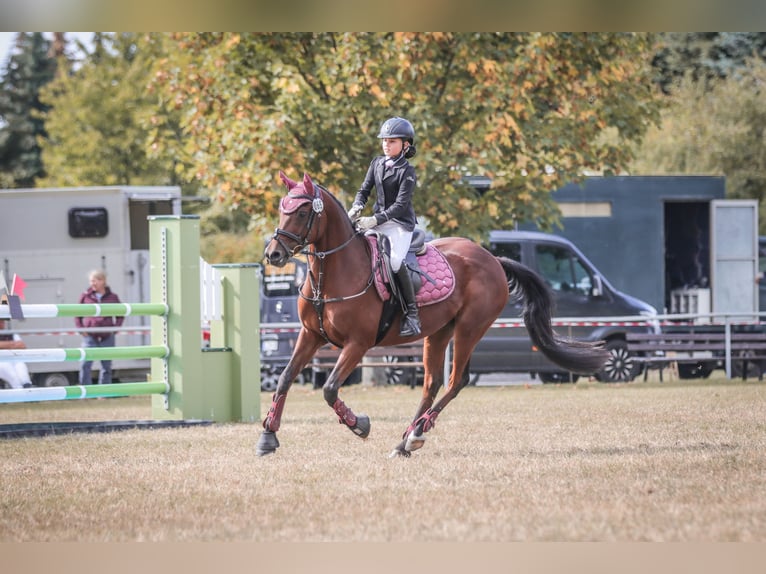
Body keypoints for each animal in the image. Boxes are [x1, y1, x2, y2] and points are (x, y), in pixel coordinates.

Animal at [260, 171, 612, 460]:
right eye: (281, 208)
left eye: (302, 212)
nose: (273, 254)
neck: (333, 272)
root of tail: (494, 260)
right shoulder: (310, 335)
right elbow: (285, 377)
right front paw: (267, 437)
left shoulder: (357, 344)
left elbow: (330, 388)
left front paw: (360, 424)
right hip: (440, 332)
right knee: (432, 382)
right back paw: (405, 441)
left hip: (469, 328)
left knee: (456, 381)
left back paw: (415, 434)